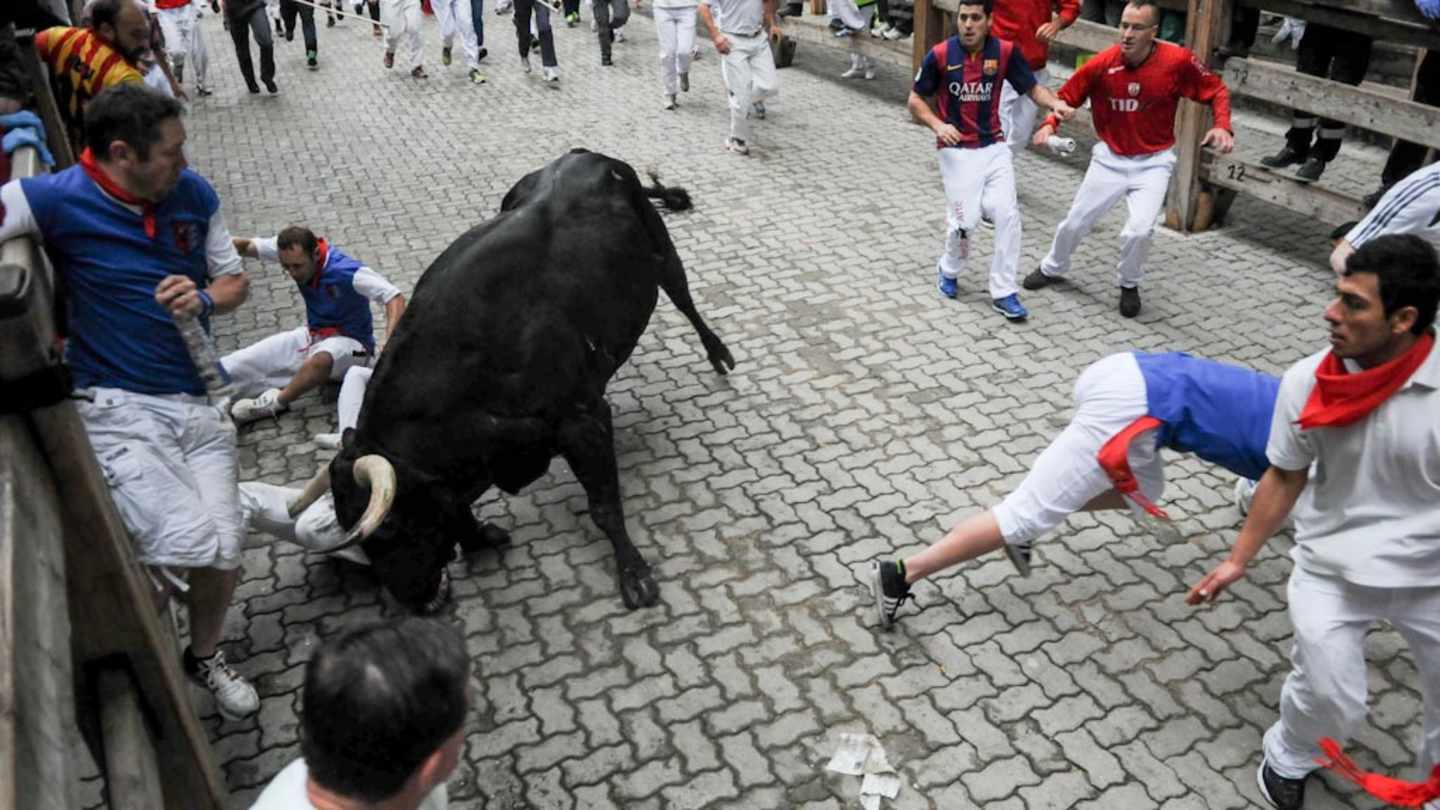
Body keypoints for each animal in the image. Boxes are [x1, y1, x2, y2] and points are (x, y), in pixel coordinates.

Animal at [287, 149, 735, 612]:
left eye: (390, 529)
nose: (412, 600)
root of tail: (584, 154)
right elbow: (456, 504)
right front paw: (480, 536)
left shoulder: (579, 420)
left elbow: (603, 505)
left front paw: (634, 574)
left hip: (659, 249)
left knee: (682, 295)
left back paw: (719, 353)